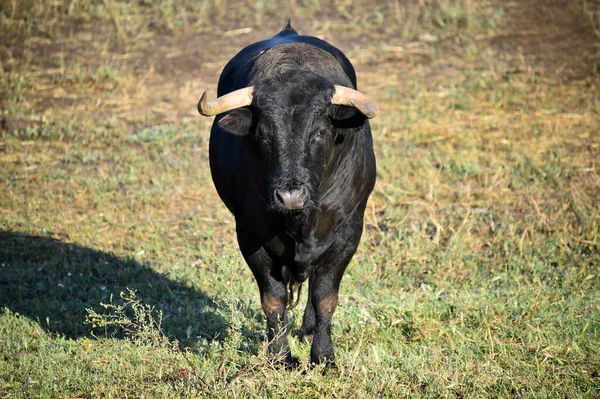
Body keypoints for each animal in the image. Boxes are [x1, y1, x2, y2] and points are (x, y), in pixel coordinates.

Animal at [199, 24, 378, 368]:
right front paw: (280, 355)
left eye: (320, 131)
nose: (290, 196)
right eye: (263, 133)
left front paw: (324, 358)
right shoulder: (250, 234)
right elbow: (273, 299)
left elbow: (325, 298)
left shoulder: (348, 233)